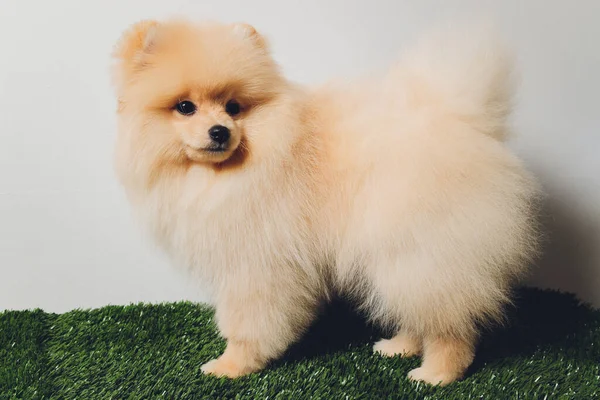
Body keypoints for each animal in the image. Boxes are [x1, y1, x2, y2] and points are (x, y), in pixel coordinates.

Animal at [111, 19, 540, 388]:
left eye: (233, 107)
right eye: (185, 107)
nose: (220, 131)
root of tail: (469, 119)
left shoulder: (255, 265)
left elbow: (248, 322)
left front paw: (232, 365)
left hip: (423, 248)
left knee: (448, 321)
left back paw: (437, 373)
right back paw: (400, 346)